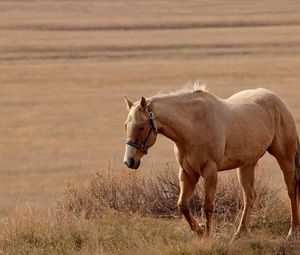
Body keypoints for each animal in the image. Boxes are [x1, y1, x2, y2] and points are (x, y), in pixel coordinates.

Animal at [122, 85, 300, 239]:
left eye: (141, 127)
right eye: (126, 126)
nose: (129, 161)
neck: (193, 126)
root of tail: (278, 101)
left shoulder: (210, 171)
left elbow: (208, 206)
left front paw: (207, 235)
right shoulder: (187, 173)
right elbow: (182, 205)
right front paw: (200, 230)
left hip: (285, 158)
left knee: (291, 190)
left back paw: (293, 231)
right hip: (246, 165)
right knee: (249, 196)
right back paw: (239, 233)